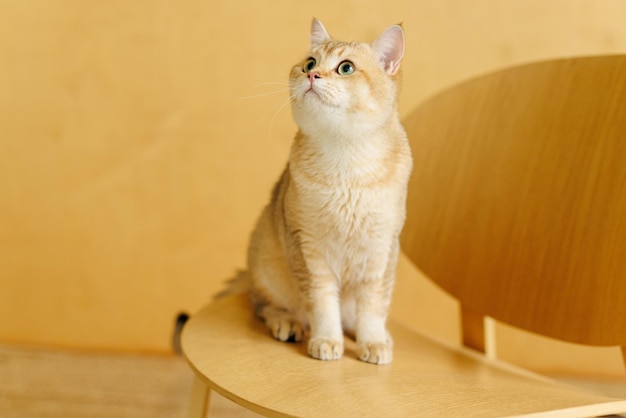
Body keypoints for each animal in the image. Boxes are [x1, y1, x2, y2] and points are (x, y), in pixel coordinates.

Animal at [233, 19, 410, 364]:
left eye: (346, 68)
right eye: (310, 63)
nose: (312, 76)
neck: (347, 161)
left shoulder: (382, 248)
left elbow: (373, 307)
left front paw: (372, 342)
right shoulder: (308, 247)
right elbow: (323, 304)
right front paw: (327, 340)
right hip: (264, 263)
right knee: (265, 306)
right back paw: (288, 324)